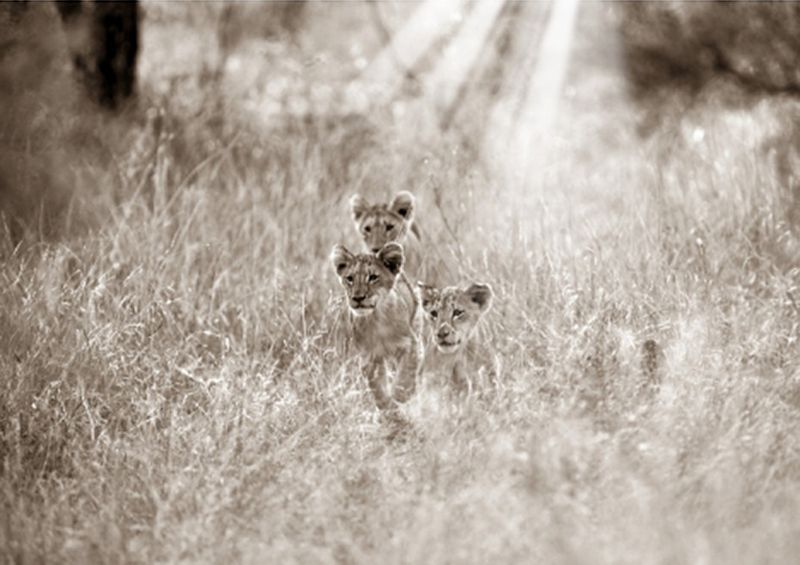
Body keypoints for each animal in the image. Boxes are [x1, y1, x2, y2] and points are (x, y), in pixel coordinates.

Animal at [331, 242, 422, 415]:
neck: (377, 319)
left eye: (373, 277)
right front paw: (388, 409)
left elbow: (406, 372)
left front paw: (401, 395)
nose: (358, 298)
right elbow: (377, 389)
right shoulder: (370, 357)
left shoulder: (410, 343)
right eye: (350, 279)